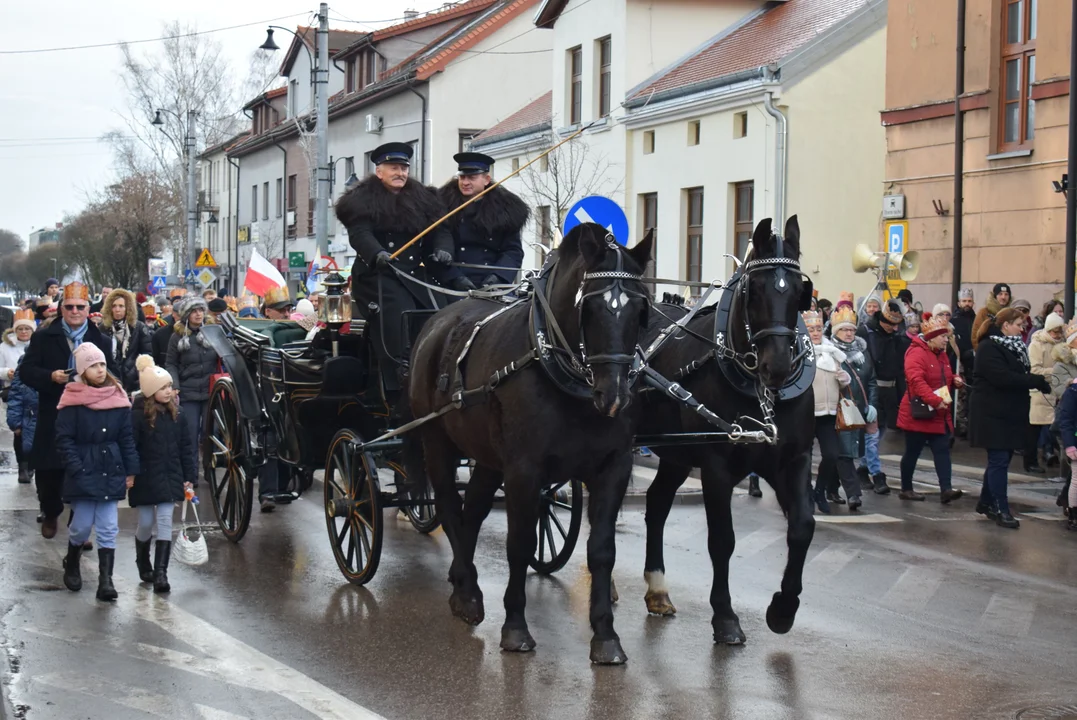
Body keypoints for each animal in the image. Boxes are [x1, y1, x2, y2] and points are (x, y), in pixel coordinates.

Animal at [407, 220, 650, 662]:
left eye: (641, 310)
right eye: (588, 307)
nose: (614, 395)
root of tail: (439, 321)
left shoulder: (614, 467)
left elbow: (602, 550)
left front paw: (606, 636)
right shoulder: (523, 470)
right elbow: (519, 543)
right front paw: (515, 627)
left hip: (486, 457)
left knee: (473, 510)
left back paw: (461, 579)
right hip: (437, 442)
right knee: (450, 507)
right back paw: (467, 594)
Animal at [633, 216, 809, 641]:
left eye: (800, 291)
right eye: (754, 289)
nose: (777, 367)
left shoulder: (791, 459)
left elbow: (802, 527)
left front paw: (783, 609)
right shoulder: (716, 466)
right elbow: (722, 540)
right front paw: (726, 617)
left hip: (676, 456)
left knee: (656, 504)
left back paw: (657, 589)